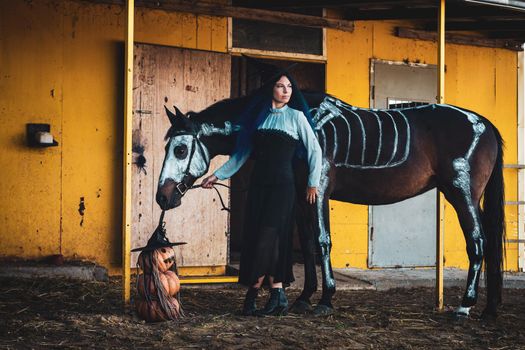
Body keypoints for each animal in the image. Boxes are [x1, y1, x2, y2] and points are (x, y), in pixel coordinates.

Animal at [156, 91, 504, 318]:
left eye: (181, 149)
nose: (162, 196)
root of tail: (485, 123)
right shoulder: (301, 196)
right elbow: (309, 245)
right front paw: (305, 297)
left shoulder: (319, 190)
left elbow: (323, 242)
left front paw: (326, 299)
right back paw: (489, 308)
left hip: (461, 194)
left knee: (477, 242)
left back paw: (465, 305)